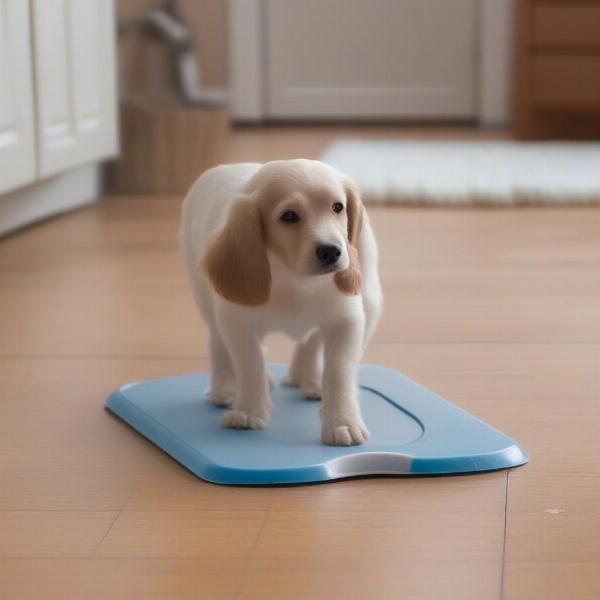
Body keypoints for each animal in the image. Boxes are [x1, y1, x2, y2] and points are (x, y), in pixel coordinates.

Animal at [180, 159, 382, 446]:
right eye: (289, 216)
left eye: (337, 207)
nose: (331, 251)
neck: (294, 280)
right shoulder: (236, 322)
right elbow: (250, 365)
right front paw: (249, 411)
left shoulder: (347, 320)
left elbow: (340, 372)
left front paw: (343, 422)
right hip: (204, 297)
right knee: (219, 343)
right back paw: (225, 388)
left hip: (370, 300)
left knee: (313, 342)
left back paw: (310, 380)